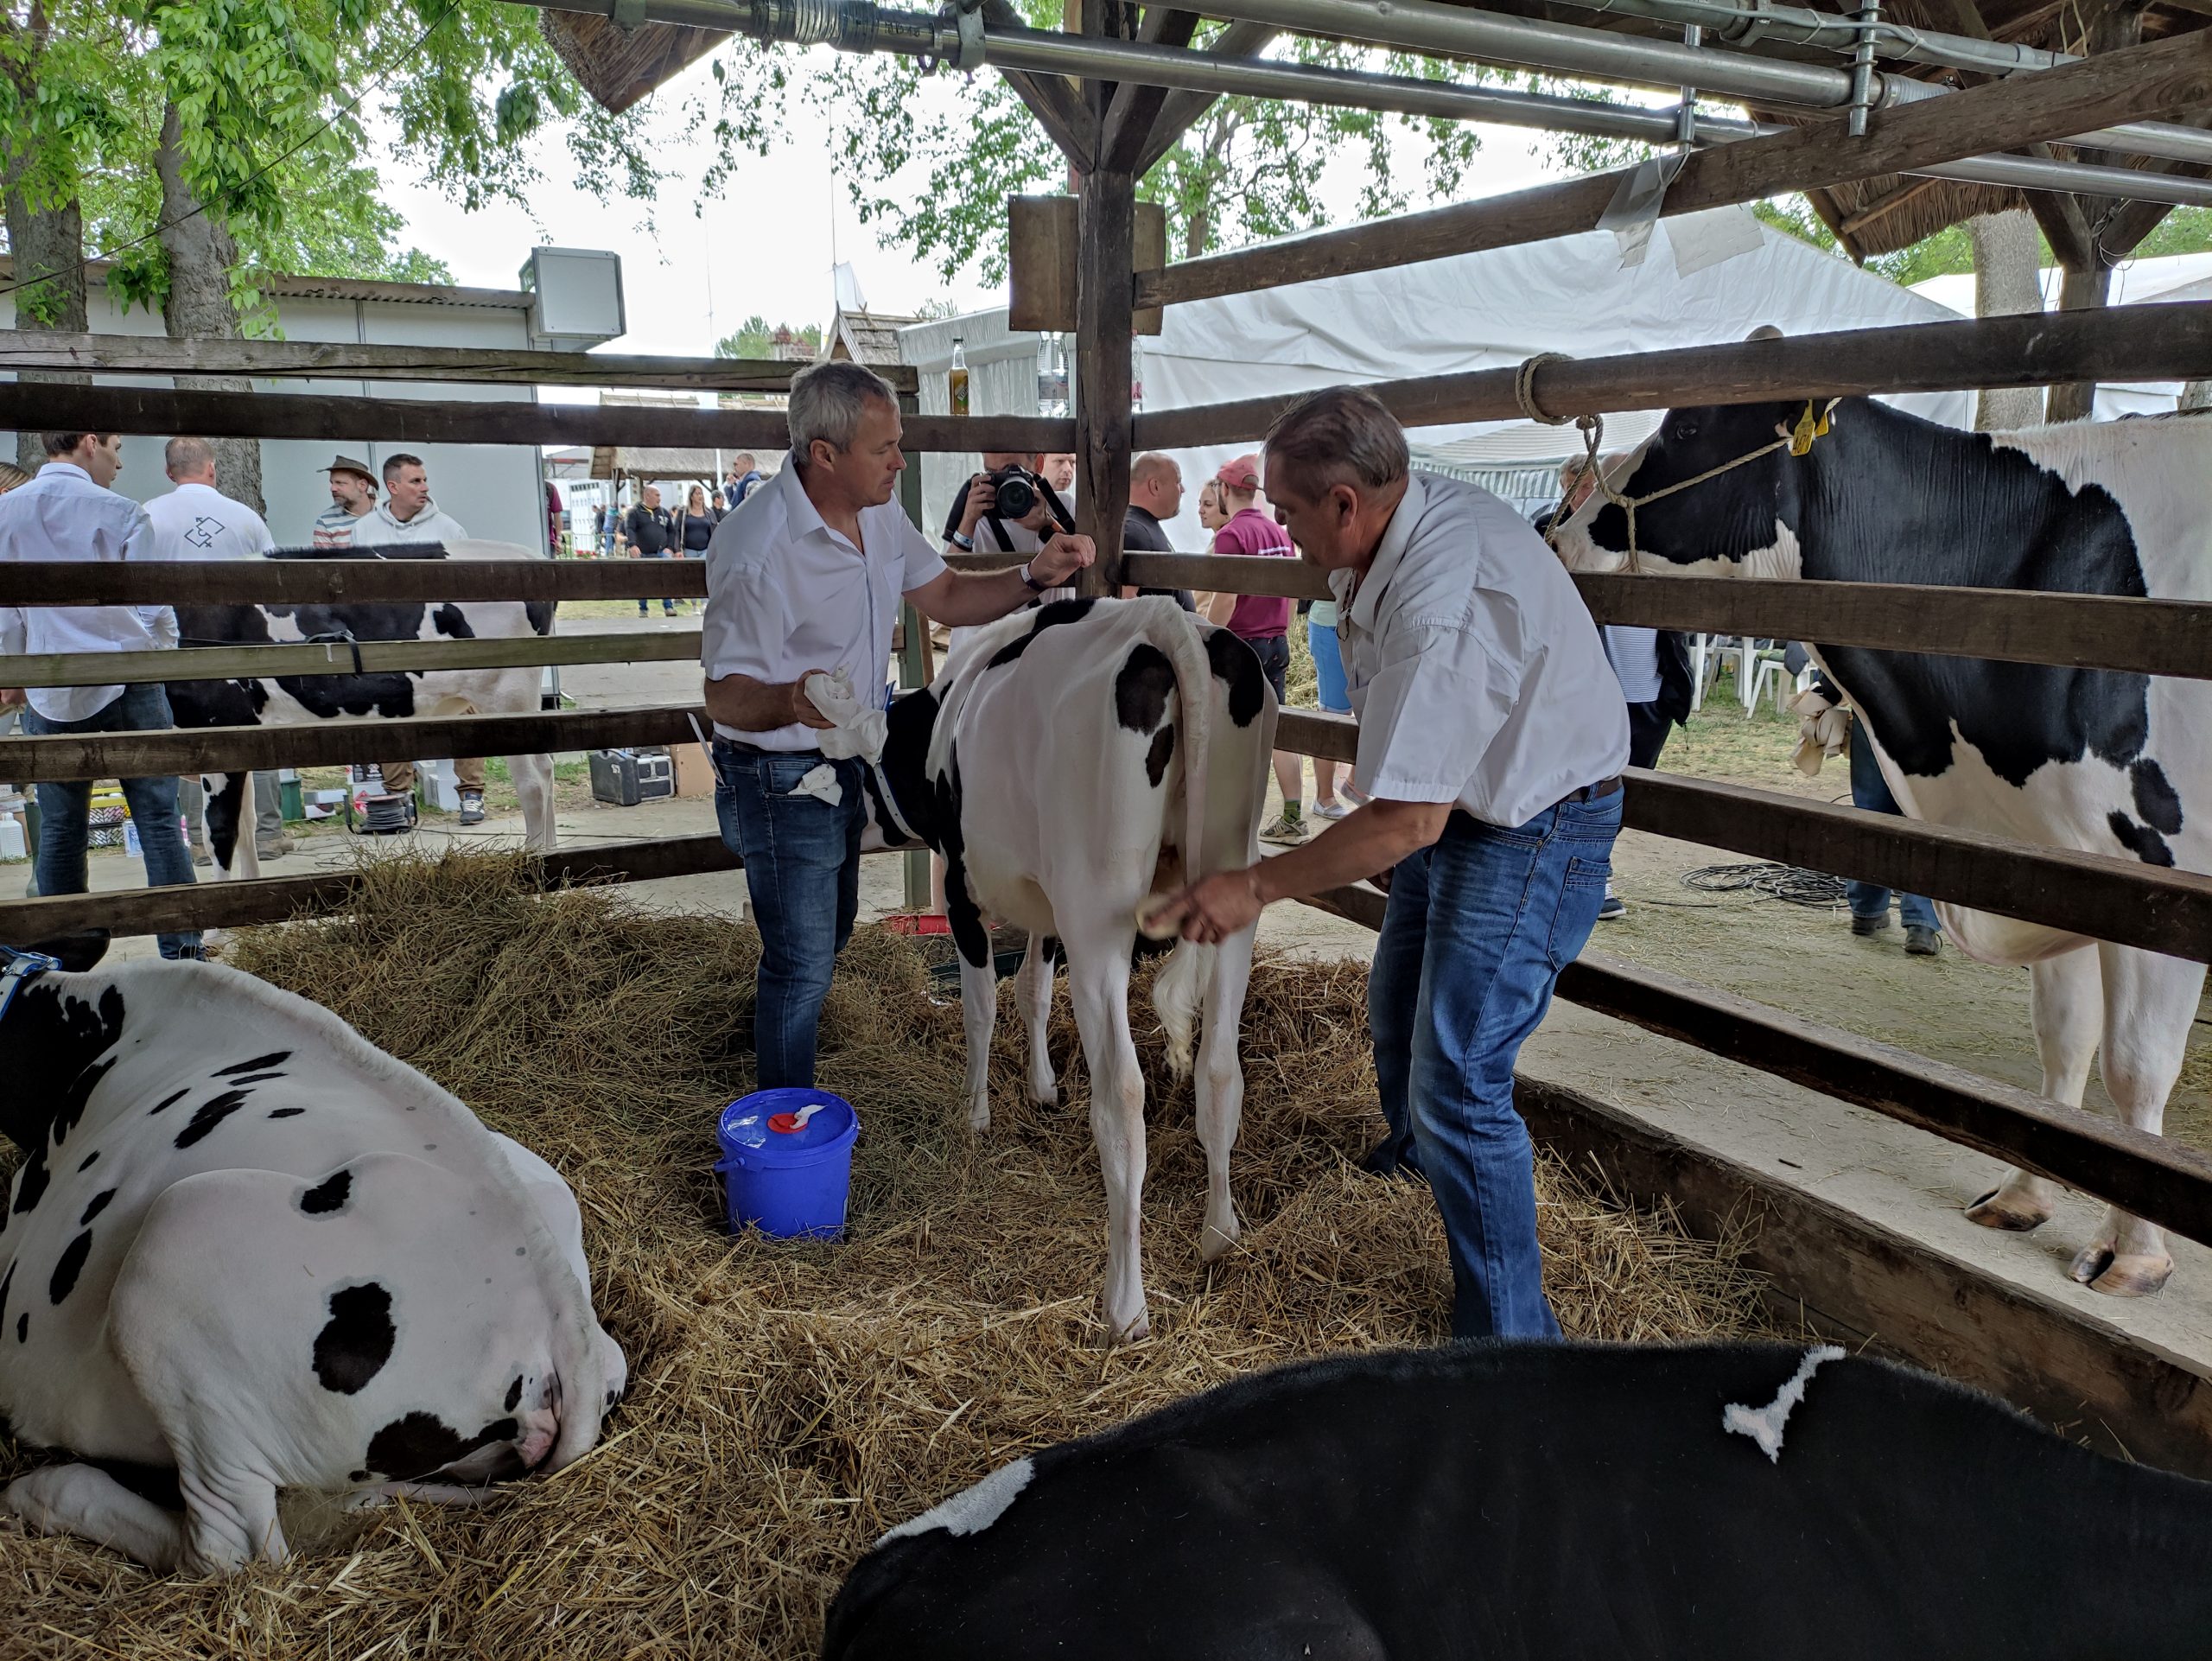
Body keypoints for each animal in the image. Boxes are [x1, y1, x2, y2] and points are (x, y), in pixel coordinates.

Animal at [166, 546, 562, 884]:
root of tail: (527, 555)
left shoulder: (214, 729)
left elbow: (220, 830)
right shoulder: (241, 736)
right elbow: (245, 826)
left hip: (505, 697)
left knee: (531, 783)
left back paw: (534, 866)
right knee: (545, 770)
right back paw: (553, 856)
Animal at [862, 596, 1282, 1353]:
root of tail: (1164, 624)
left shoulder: (967, 891)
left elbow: (982, 1008)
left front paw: (976, 1115)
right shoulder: (1046, 902)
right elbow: (1032, 989)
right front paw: (1042, 1088)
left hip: (1098, 914)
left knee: (1122, 1096)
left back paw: (1126, 1307)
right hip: (1232, 883)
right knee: (1218, 1067)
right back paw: (1220, 1235)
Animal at [1557, 380, 2212, 1300]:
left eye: (1685, 427)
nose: (1561, 527)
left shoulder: (2159, 880)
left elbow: (2135, 1062)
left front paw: (2137, 1254)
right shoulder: (2058, 860)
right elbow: (2065, 1039)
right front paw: (2023, 1196)